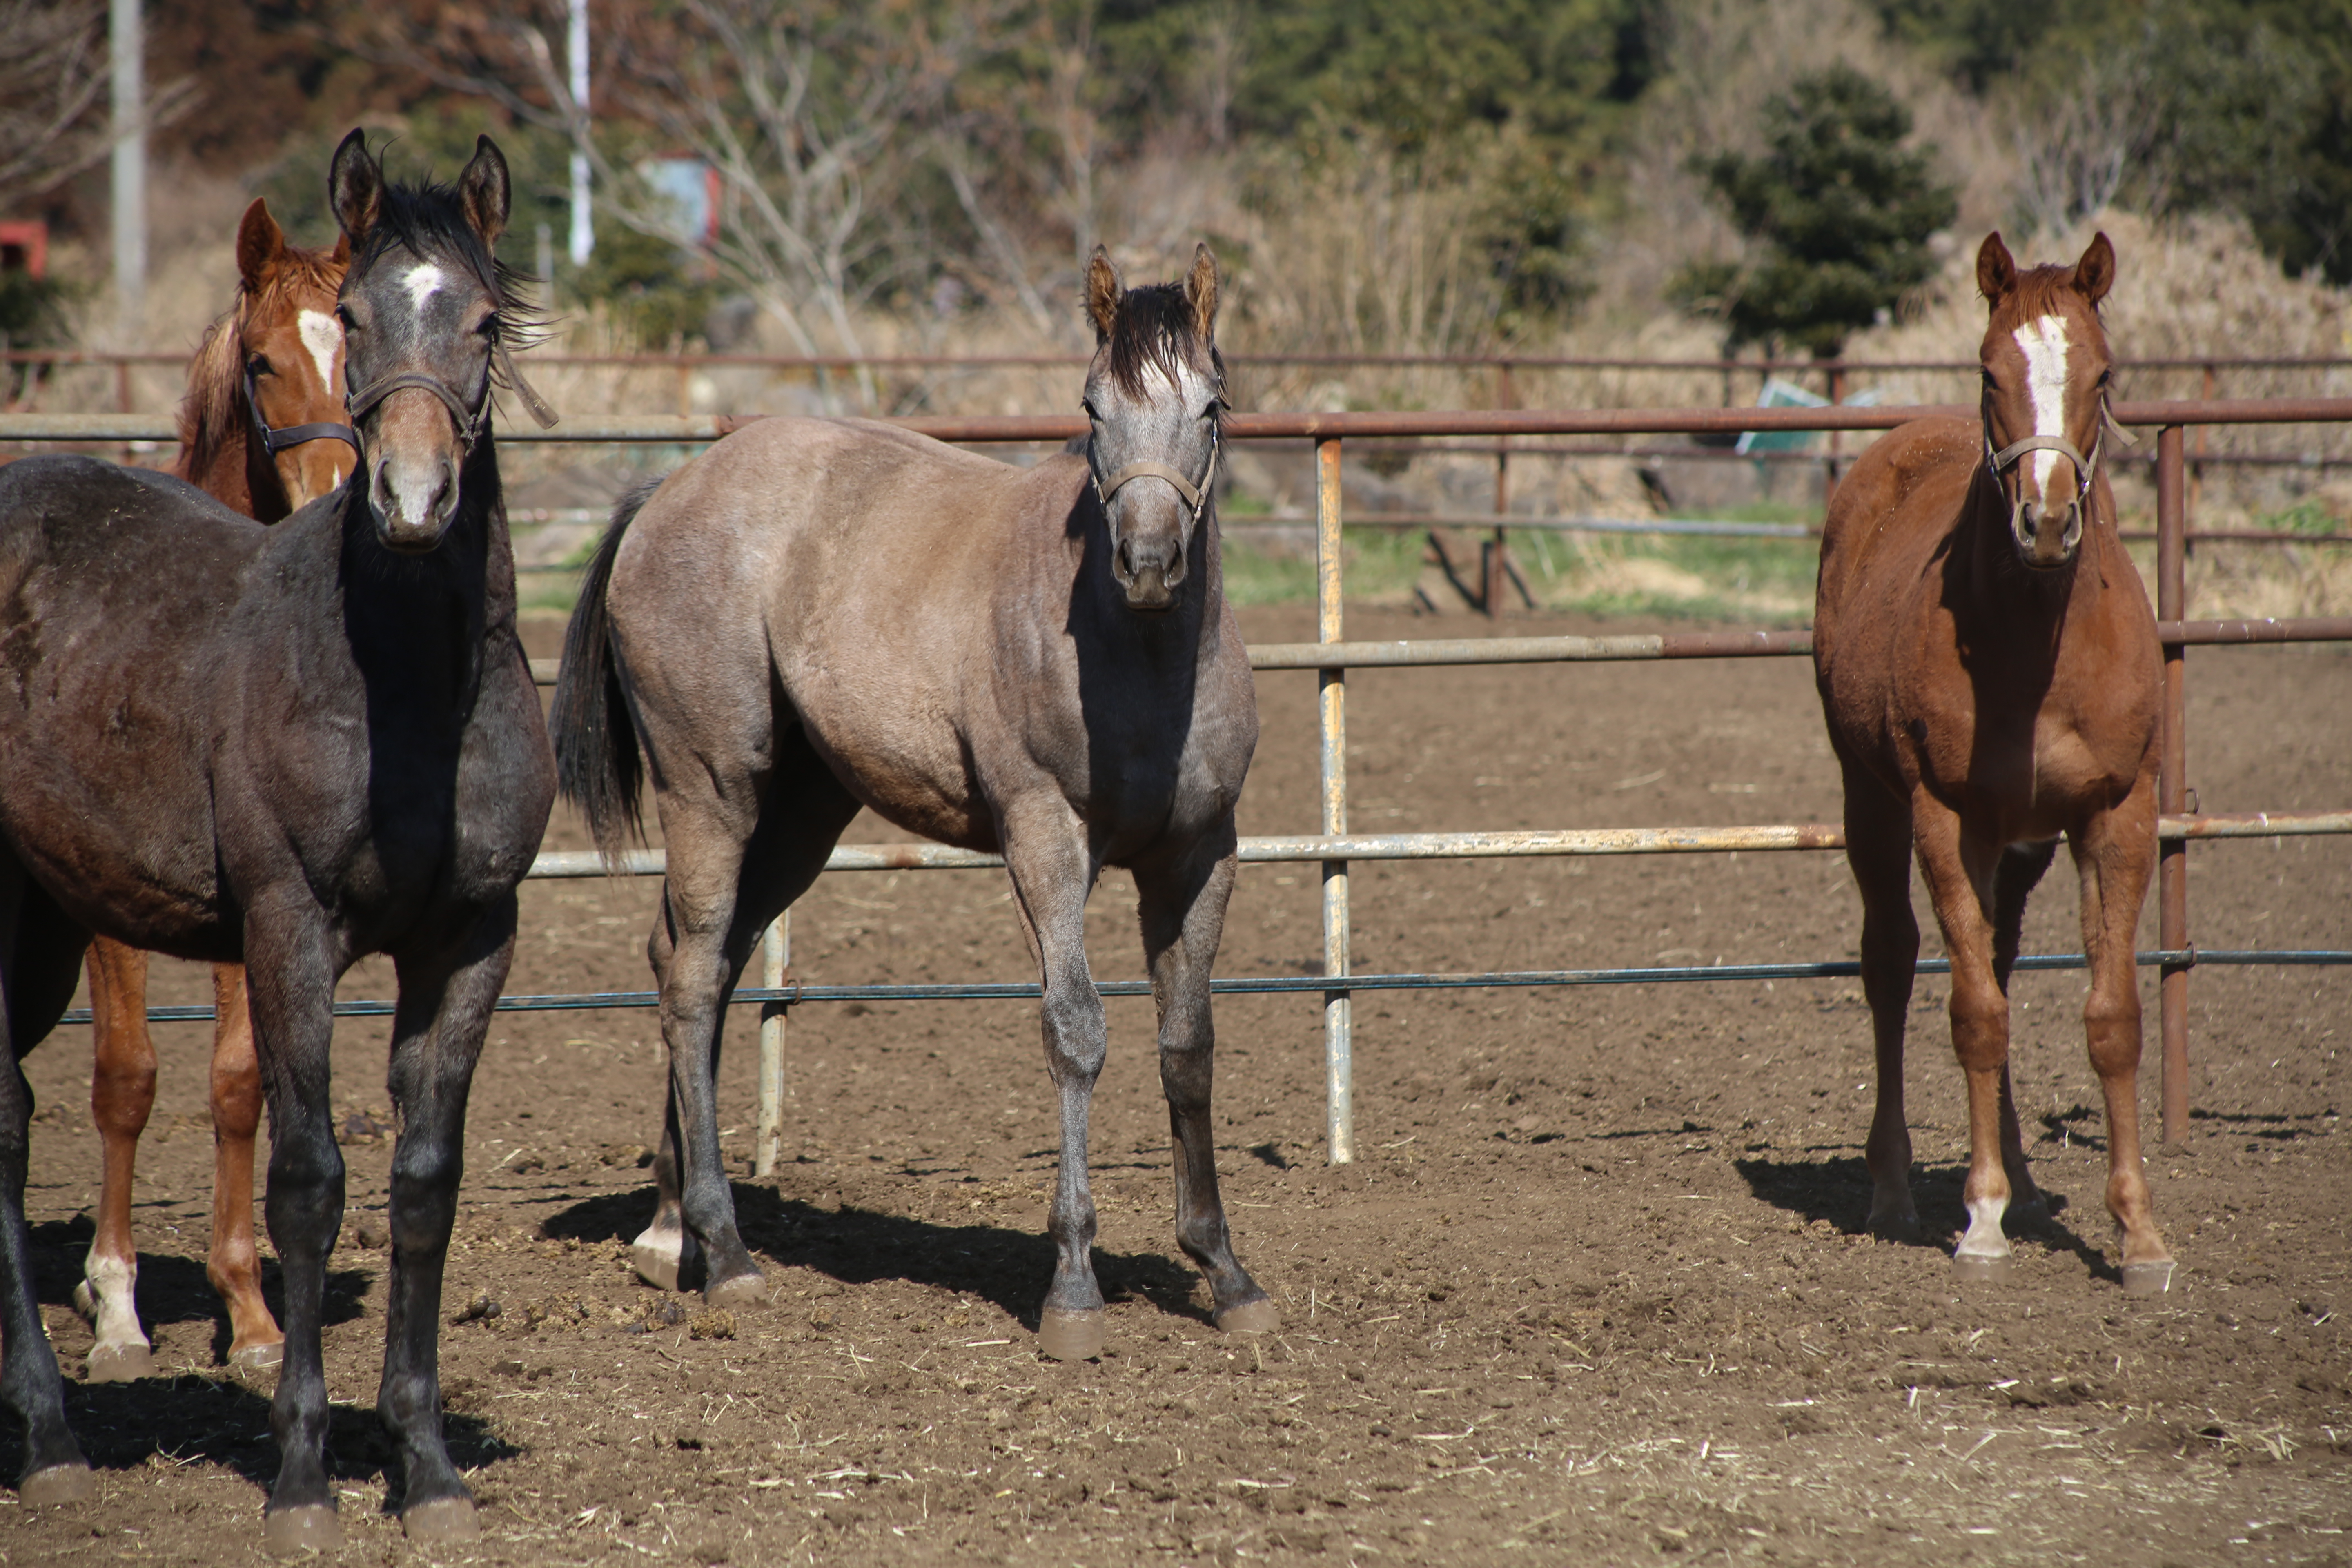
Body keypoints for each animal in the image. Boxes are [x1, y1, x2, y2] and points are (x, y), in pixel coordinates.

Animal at [0, 131, 555, 1542]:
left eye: (482, 321)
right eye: (354, 318)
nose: (409, 499)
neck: (402, 685)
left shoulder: (472, 943)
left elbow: (422, 1179)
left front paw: (426, 1466)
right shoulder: (290, 929)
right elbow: (308, 1178)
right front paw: (302, 1470)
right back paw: (50, 1436)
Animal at [552, 245, 1279, 1363]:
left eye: (1211, 405)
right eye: (1092, 405)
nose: (1149, 562)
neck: (1142, 658)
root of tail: (670, 487)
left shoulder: (1199, 854)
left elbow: (1188, 1044)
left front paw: (1225, 1271)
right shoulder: (1045, 841)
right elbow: (1076, 1031)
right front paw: (1073, 1291)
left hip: (800, 818)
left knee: (696, 964)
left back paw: (671, 1231)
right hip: (710, 789)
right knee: (690, 977)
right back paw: (726, 1253)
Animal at [1815, 227, 2164, 1297]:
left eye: (2102, 374)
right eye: (1986, 372)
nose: (2044, 525)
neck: (2039, 640)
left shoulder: (2115, 813)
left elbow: (2111, 1015)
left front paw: (2138, 1233)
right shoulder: (1943, 814)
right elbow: (1973, 1011)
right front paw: (1978, 1219)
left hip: (2022, 843)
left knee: (2001, 958)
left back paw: (2018, 1176)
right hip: (1872, 803)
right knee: (1891, 963)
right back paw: (1897, 1189)